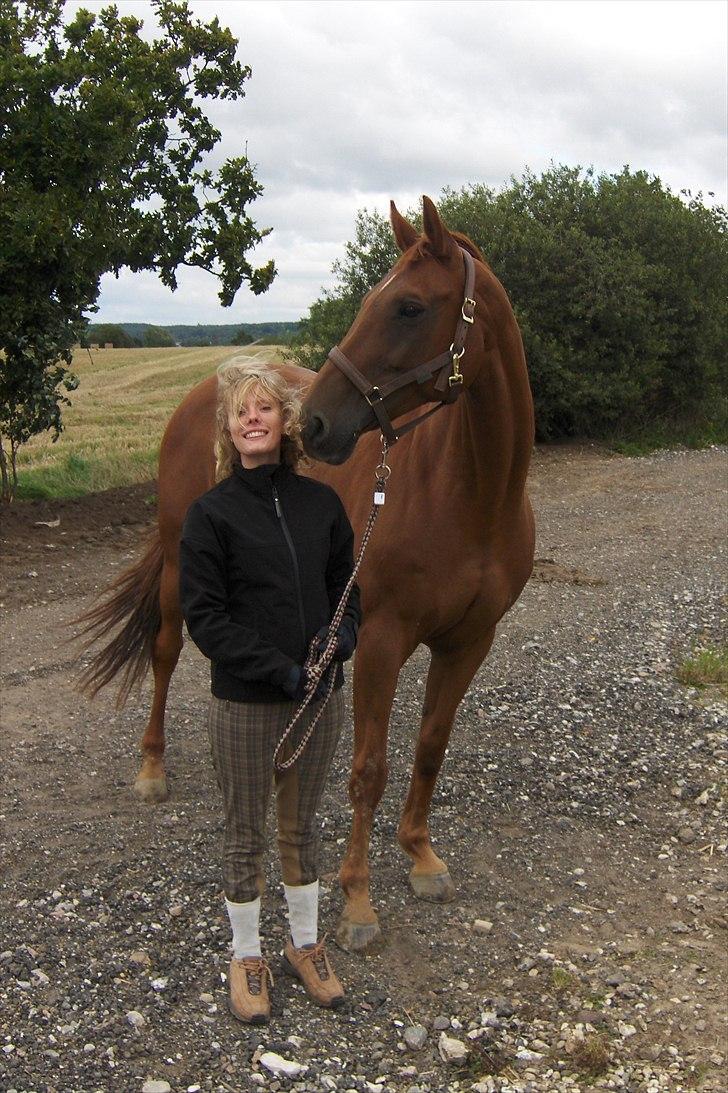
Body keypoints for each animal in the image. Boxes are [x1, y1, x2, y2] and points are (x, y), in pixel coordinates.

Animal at [80, 196, 533, 948]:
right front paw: (357, 902)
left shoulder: (470, 641)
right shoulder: (379, 639)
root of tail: (204, 389)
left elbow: (430, 747)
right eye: (375, 299)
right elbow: (369, 770)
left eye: (409, 307)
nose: (314, 423)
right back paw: (152, 768)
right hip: (177, 566)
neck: (469, 494)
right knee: (166, 652)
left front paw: (421, 856)